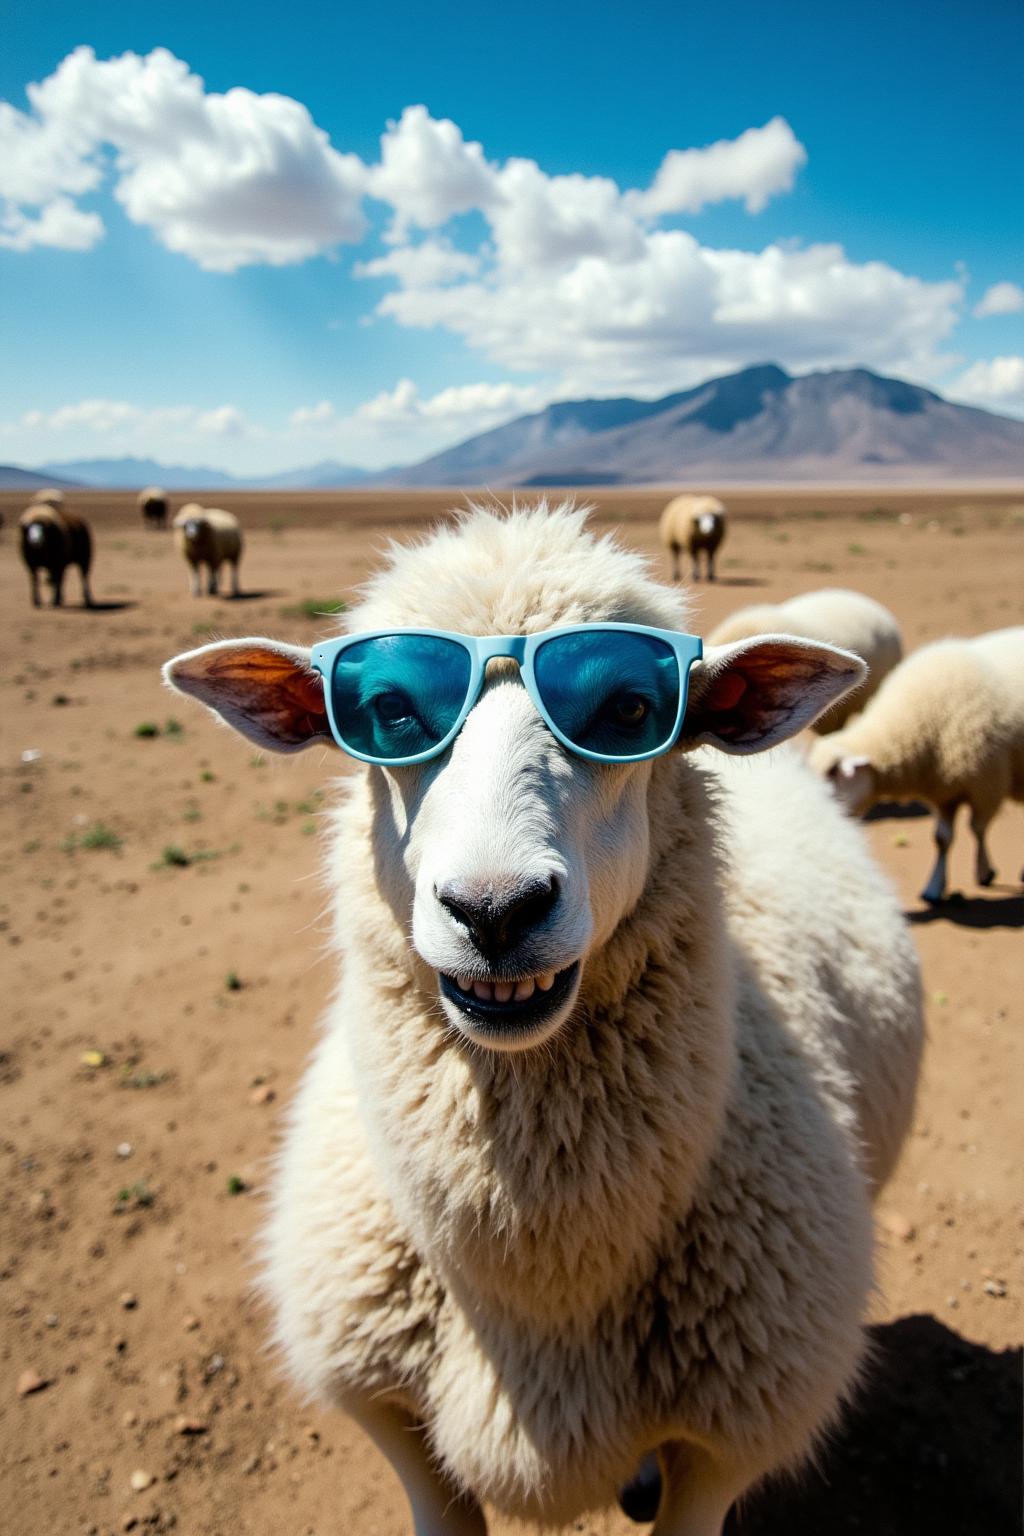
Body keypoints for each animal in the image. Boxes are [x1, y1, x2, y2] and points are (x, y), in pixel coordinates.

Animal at [810, 626, 1024, 904]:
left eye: (831, 778)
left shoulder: (986, 783)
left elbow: (978, 829)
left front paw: (984, 871)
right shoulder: (944, 791)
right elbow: (942, 839)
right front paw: (934, 887)